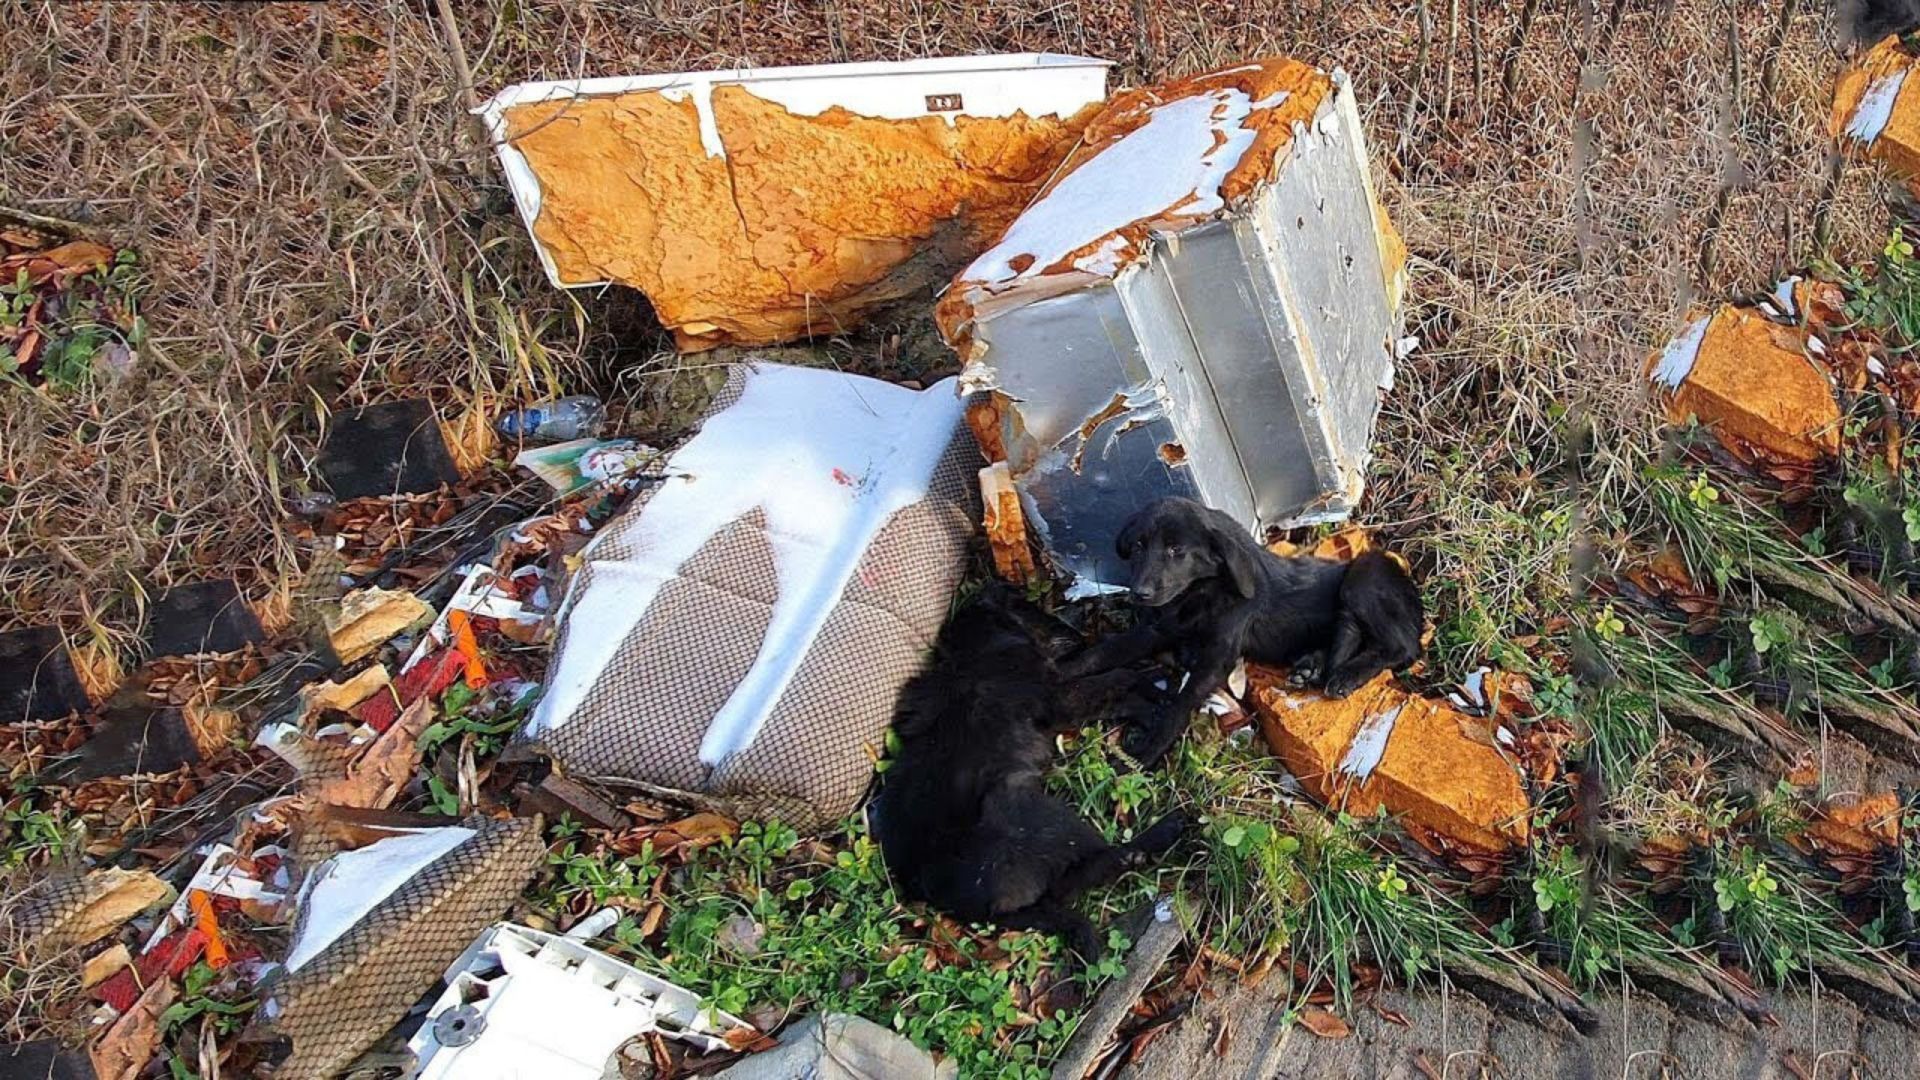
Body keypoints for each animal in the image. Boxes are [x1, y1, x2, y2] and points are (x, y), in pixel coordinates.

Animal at [1059, 495, 1420, 764]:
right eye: (1137, 547)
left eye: (1176, 551)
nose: (1140, 593)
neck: (1202, 593)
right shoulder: (1157, 630)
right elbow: (1100, 653)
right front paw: (1059, 672)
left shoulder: (1218, 654)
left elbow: (1181, 702)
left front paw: (1145, 752)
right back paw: (1312, 667)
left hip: (1365, 572)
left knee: (1402, 646)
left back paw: (1345, 675)